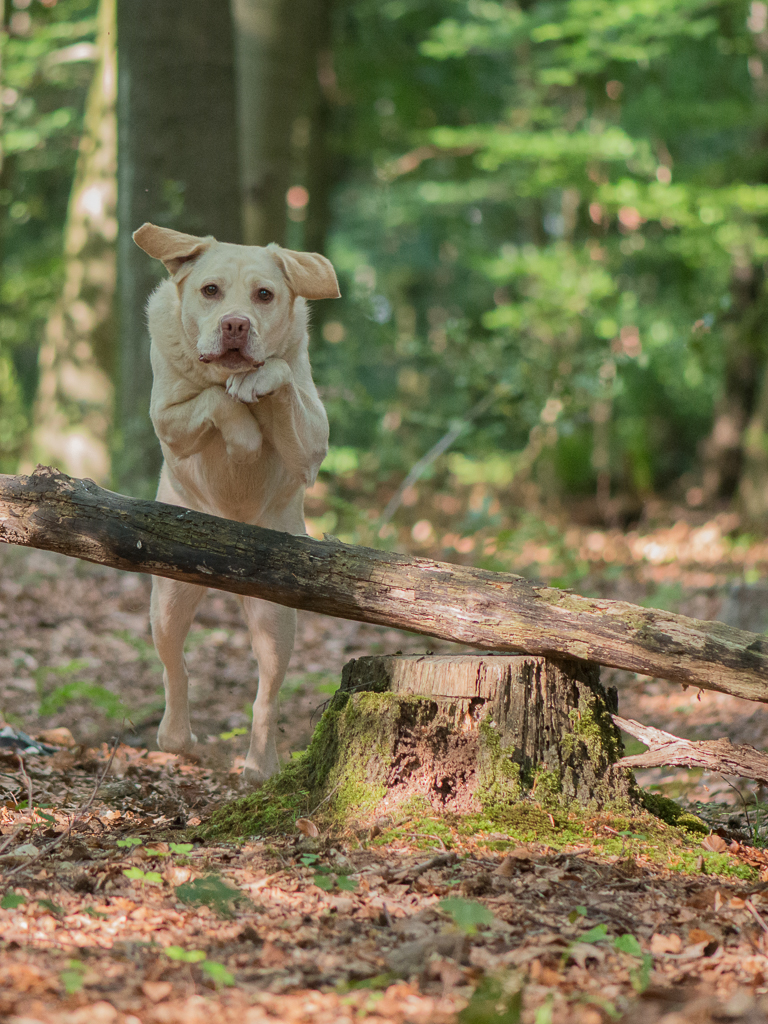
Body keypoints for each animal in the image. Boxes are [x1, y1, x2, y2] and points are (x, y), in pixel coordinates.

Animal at [132, 222, 339, 782]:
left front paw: (259, 381)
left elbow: (277, 377)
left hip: (276, 615)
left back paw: (260, 765)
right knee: (174, 665)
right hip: (169, 597)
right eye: (211, 290)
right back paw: (176, 737)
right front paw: (244, 434)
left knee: (266, 692)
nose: (235, 325)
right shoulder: (166, 417)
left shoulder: (313, 444)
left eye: (264, 295)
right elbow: (214, 399)